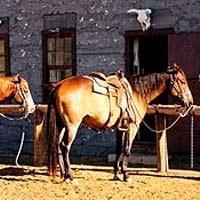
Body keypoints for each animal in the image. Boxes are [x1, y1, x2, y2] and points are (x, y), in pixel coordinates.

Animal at [46, 63, 192, 181]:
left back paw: (64, 174)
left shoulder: (119, 127)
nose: (190, 102)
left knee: (58, 145)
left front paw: (117, 173)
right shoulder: (133, 126)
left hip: (62, 125)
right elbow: (127, 149)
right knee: (65, 147)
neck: (137, 92)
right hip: (72, 126)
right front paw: (126, 174)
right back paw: (70, 176)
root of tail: (58, 86)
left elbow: (118, 149)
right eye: (182, 81)